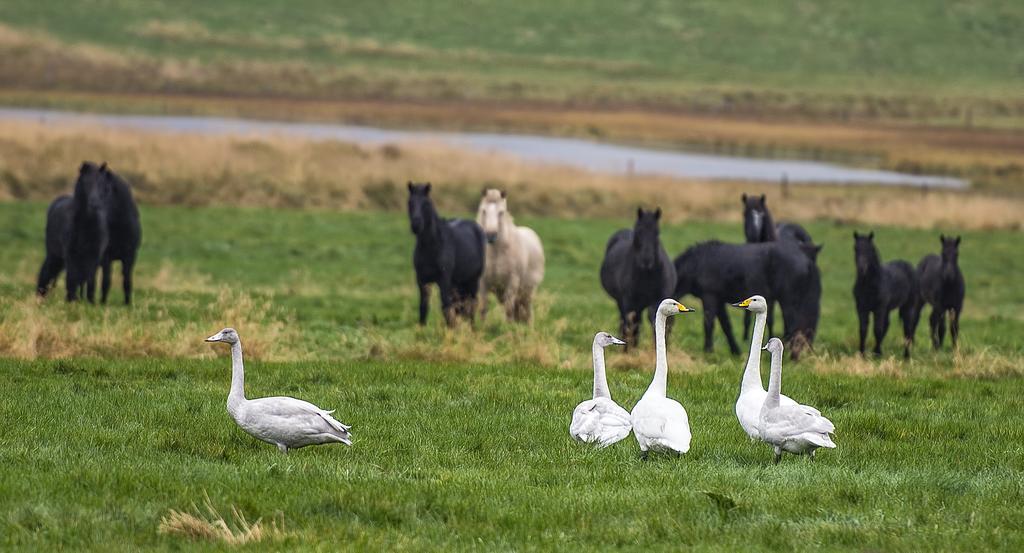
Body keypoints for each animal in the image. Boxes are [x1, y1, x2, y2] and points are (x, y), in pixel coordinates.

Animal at [36, 161, 142, 305]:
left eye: (106, 188)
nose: (94, 204)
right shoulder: (104, 258)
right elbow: (104, 282)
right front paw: (101, 303)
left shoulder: (129, 256)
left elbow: (126, 281)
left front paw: (127, 304)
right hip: (56, 254)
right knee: (49, 271)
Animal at [405, 181, 485, 327]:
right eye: (410, 202)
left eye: (426, 203)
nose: (416, 225)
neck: (432, 246)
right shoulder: (422, 280)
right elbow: (424, 307)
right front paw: (421, 329)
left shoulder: (444, 279)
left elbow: (446, 307)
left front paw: (450, 330)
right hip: (457, 282)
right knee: (461, 306)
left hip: (473, 280)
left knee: (471, 304)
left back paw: (472, 328)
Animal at [477, 189, 548, 321]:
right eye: (484, 211)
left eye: (501, 212)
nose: (490, 235)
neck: (496, 253)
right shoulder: (483, 283)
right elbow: (483, 308)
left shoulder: (512, 282)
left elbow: (508, 310)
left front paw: (507, 326)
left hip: (527, 291)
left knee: (527, 311)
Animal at [598, 206, 675, 350]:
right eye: (639, 231)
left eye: (657, 232)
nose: (647, 259)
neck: (647, 275)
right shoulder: (630, 303)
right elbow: (631, 327)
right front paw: (629, 350)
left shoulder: (657, 300)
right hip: (623, 303)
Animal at [671, 240, 823, 358]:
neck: (697, 263)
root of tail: (806, 260)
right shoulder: (719, 301)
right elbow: (726, 326)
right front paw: (735, 351)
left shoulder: (710, 297)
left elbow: (708, 324)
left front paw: (708, 351)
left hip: (788, 301)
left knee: (792, 328)